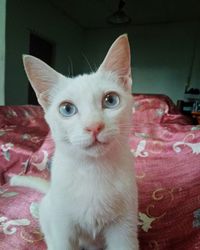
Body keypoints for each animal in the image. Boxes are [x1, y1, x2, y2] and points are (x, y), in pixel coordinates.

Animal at [10, 34, 138, 249]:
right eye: (67, 109)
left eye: (111, 100)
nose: (94, 126)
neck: (93, 170)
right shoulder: (63, 227)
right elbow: (62, 241)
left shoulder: (124, 227)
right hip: (50, 212)